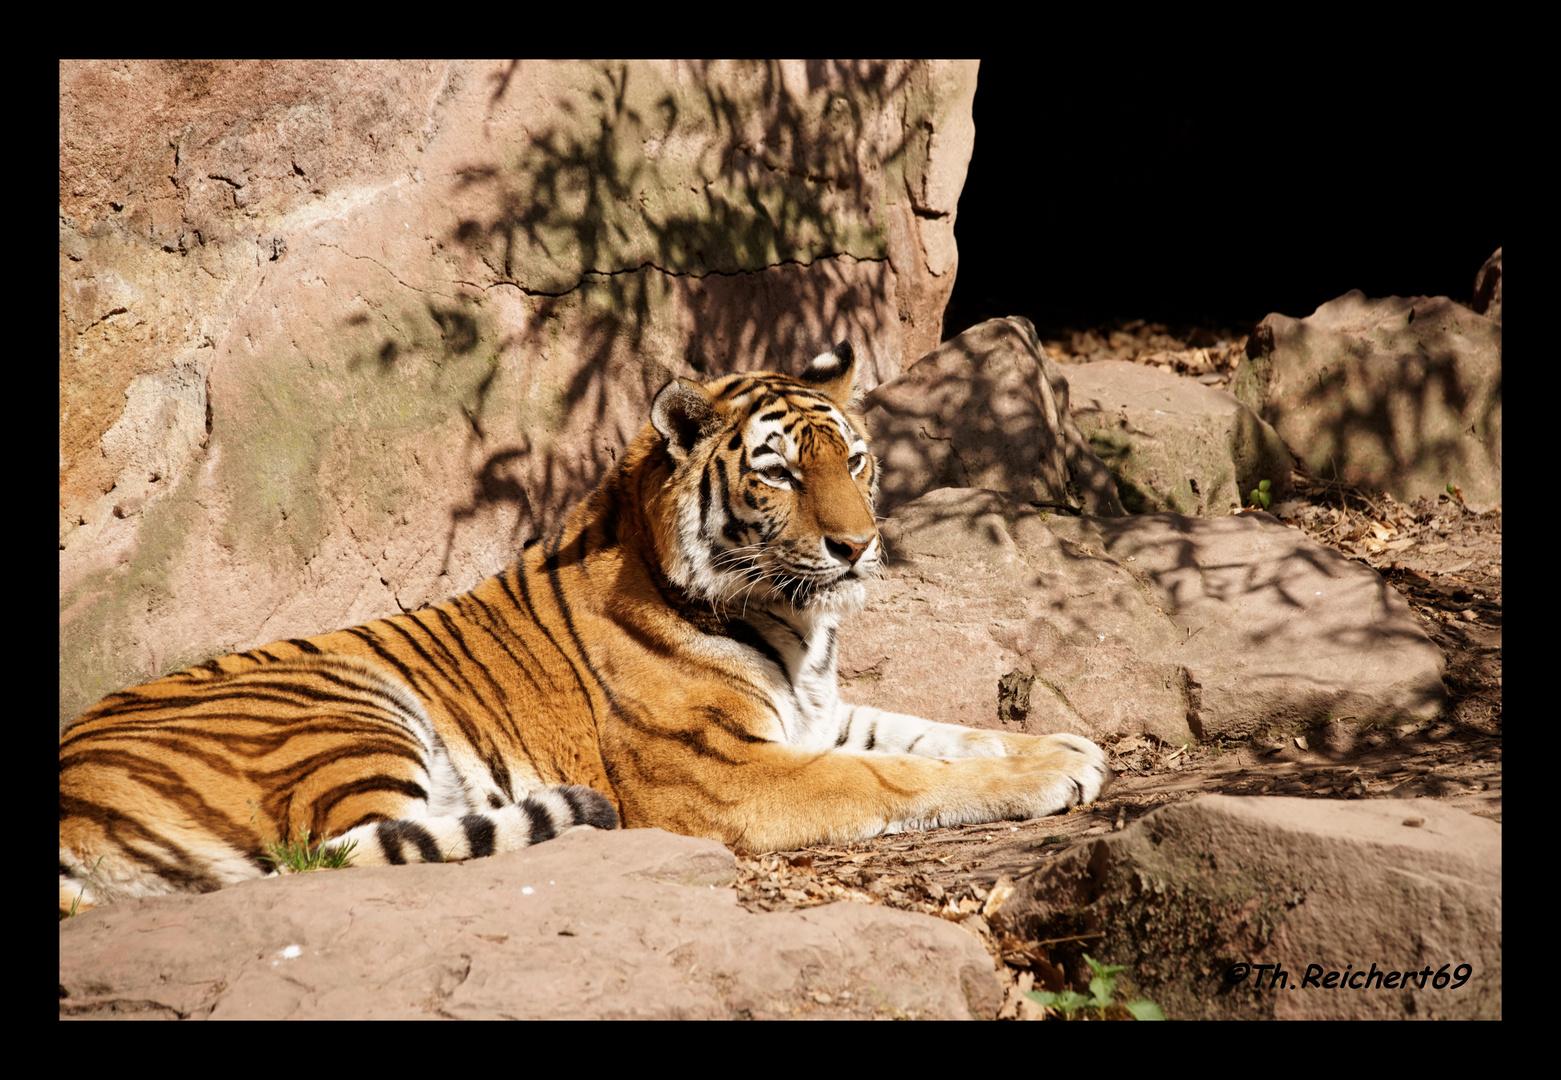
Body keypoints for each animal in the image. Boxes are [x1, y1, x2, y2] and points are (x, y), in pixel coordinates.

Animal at [60, 341, 1111, 917]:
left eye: (852, 460)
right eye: (778, 473)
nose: (858, 547)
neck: (793, 623)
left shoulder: (815, 713)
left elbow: (931, 732)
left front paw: (1064, 745)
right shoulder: (722, 772)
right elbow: (891, 774)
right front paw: (1049, 776)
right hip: (336, 711)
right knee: (333, 854)